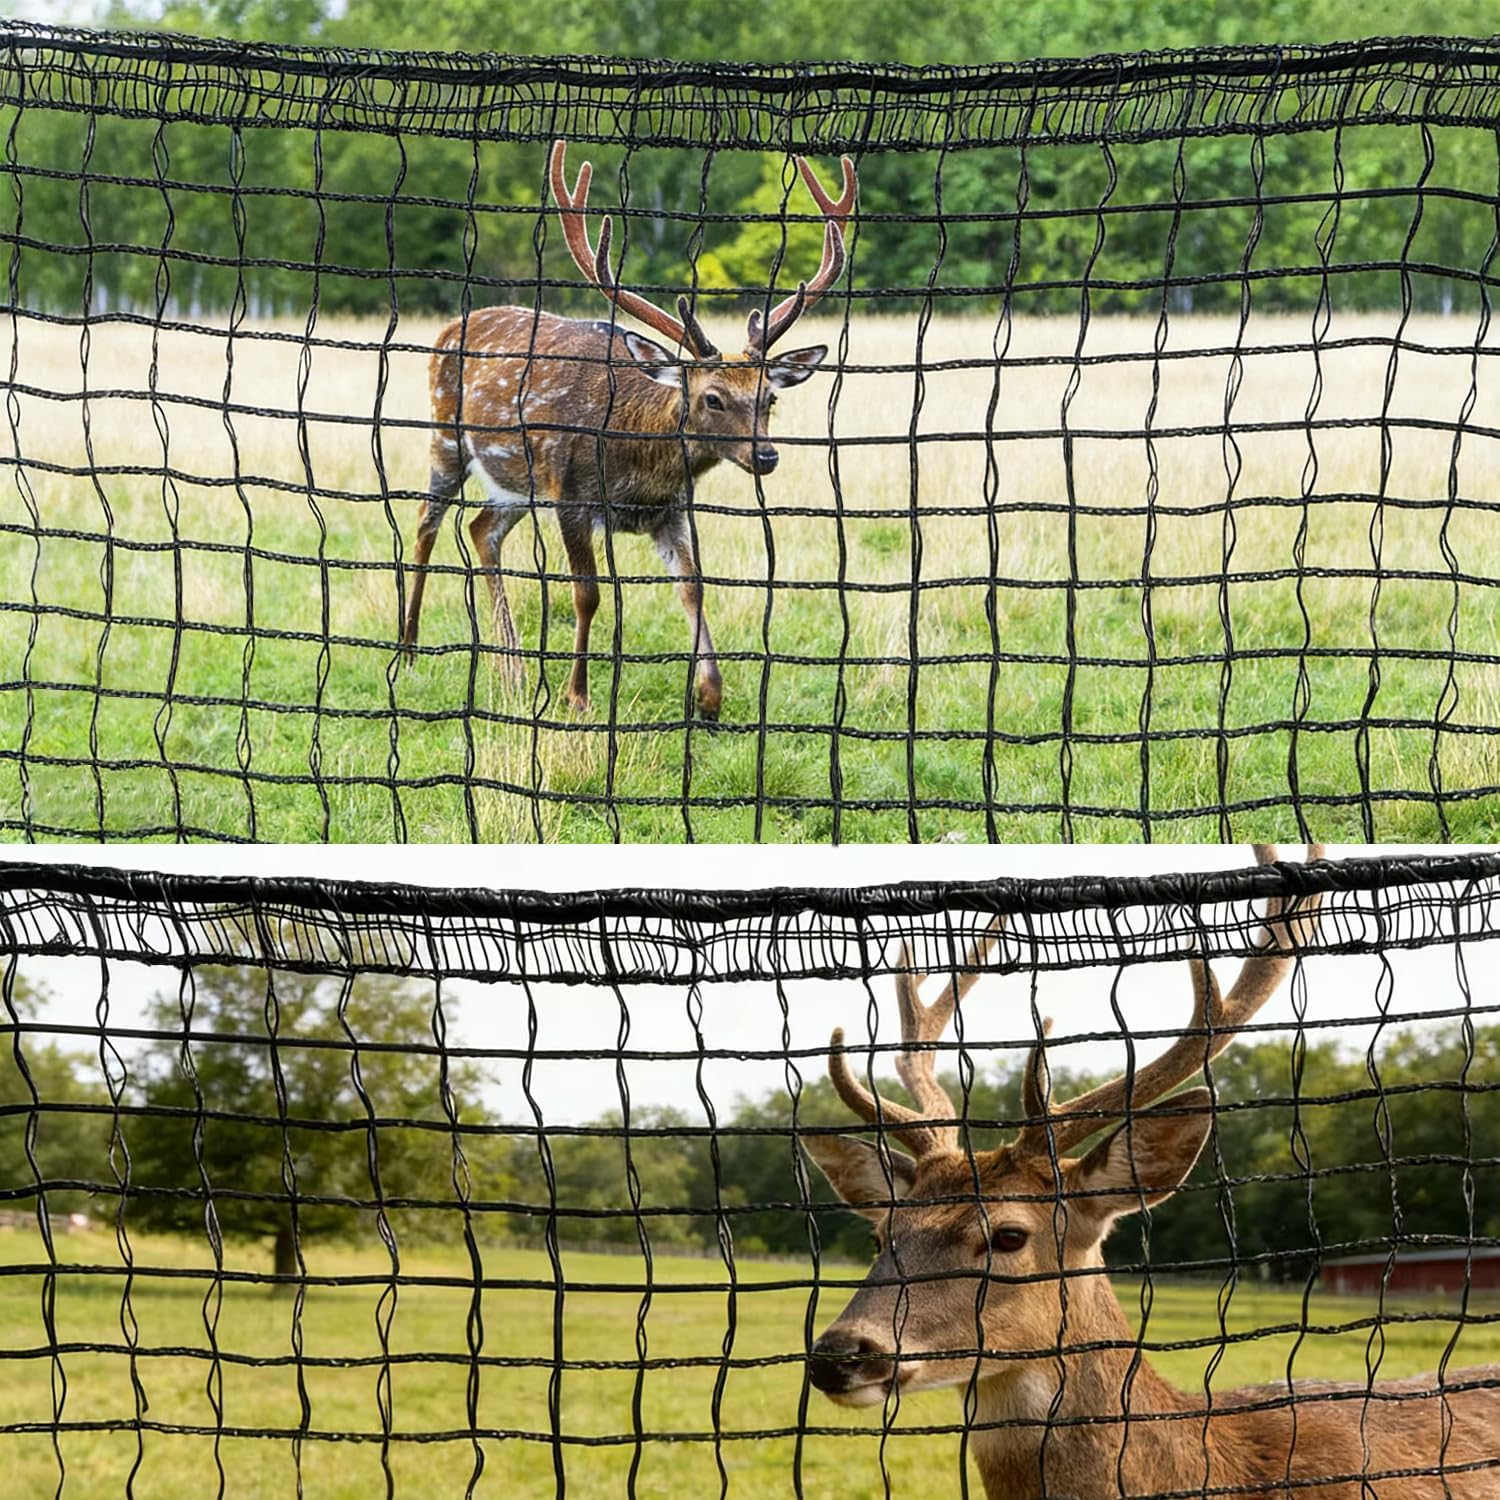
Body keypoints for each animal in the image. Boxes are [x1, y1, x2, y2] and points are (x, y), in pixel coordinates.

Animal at [399, 139, 857, 722]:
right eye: (711, 398)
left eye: (769, 398)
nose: (767, 456)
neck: (636, 470)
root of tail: (450, 326)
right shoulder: (572, 496)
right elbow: (588, 593)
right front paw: (577, 695)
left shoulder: (672, 510)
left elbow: (693, 588)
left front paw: (709, 695)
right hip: (447, 437)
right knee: (426, 522)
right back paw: (410, 649)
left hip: (517, 484)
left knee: (482, 530)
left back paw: (514, 669)